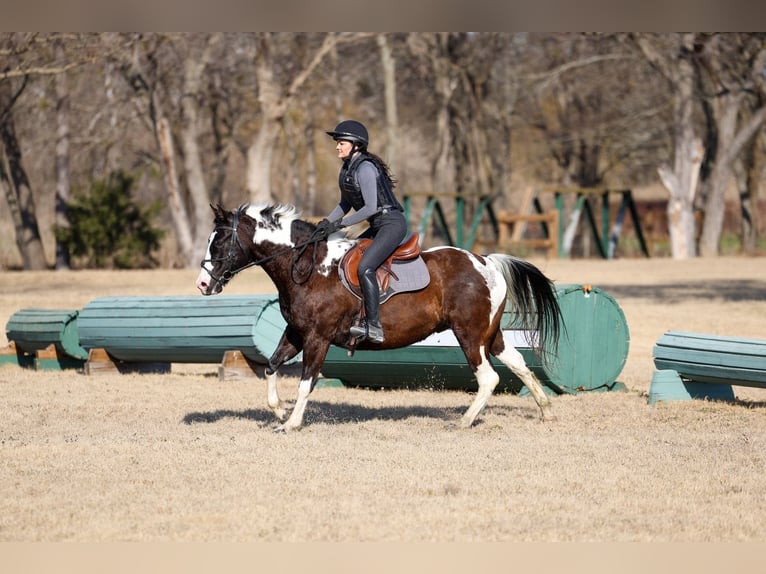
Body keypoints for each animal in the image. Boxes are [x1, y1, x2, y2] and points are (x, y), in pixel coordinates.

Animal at [195, 202, 563, 432]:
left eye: (221, 242)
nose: (201, 284)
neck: (308, 268)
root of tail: (486, 261)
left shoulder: (317, 338)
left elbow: (305, 382)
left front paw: (292, 423)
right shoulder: (297, 333)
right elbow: (271, 367)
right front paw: (280, 411)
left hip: (470, 336)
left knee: (488, 377)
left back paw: (463, 421)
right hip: (492, 334)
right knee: (519, 364)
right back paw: (546, 412)